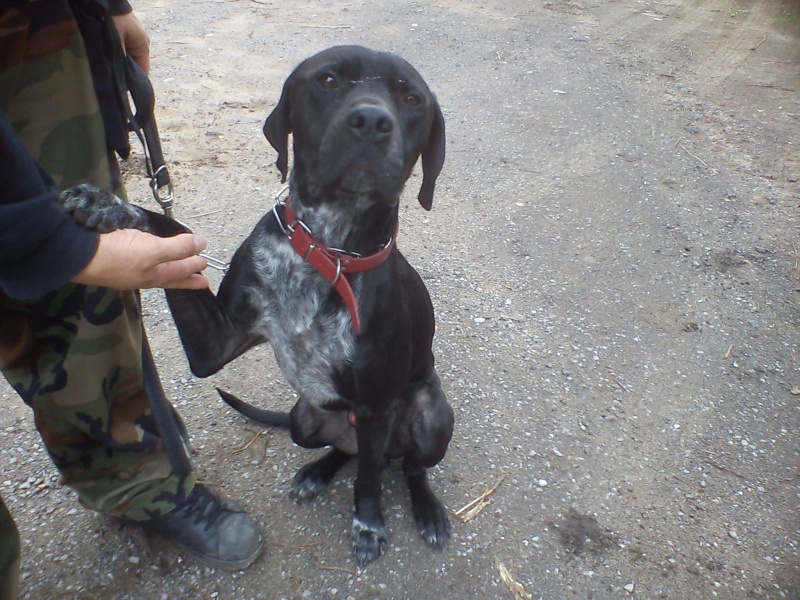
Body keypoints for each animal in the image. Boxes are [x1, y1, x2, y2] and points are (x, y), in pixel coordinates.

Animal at [61, 45, 454, 564]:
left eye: (411, 98)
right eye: (328, 80)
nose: (371, 121)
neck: (324, 252)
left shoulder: (373, 405)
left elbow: (369, 483)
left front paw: (368, 524)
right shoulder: (215, 342)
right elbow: (173, 230)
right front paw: (111, 207)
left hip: (430, 420)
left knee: (405, 466)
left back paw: (426, 508)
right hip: (303, 418)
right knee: (347, 451)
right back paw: (317, 472)